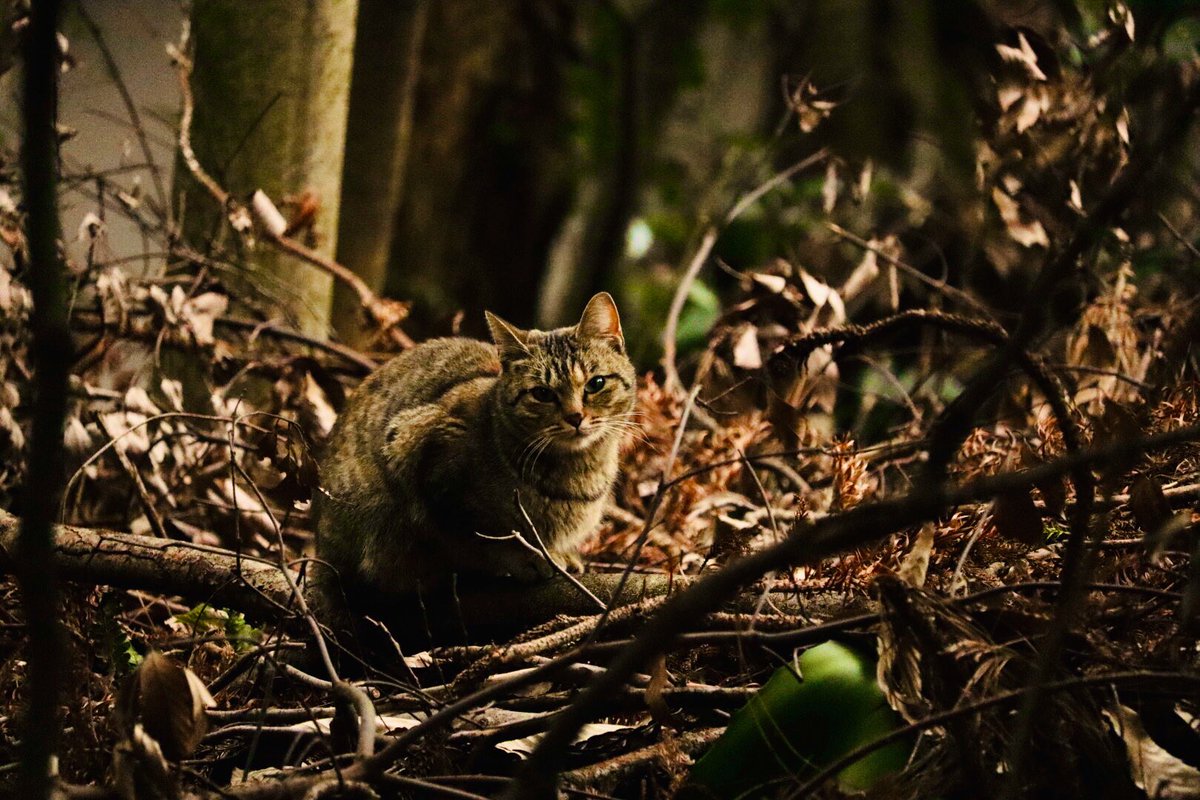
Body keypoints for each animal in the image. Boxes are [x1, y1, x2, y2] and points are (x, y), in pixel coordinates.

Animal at [314, 293, 637, 601]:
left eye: (596, 383)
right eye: (542, 394)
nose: (575, 417)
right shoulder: (417, 451)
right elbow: (478, 537)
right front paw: (529, 557)